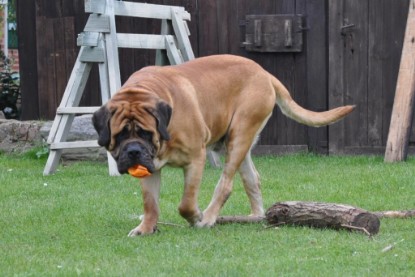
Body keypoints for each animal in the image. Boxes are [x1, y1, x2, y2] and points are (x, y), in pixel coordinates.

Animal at [92, 54, 354, 235]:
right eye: (120, 136)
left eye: (146, 133)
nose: (134, 151)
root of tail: (264, 72)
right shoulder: (151, 167)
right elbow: (150, 203)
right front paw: (145, 228)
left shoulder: (195, 158)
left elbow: (186, 203)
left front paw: (196, 217)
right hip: (237, 142)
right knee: (252, 179)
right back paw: (253, 217)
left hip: (240, 132)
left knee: (226, 184)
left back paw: (209, 217)